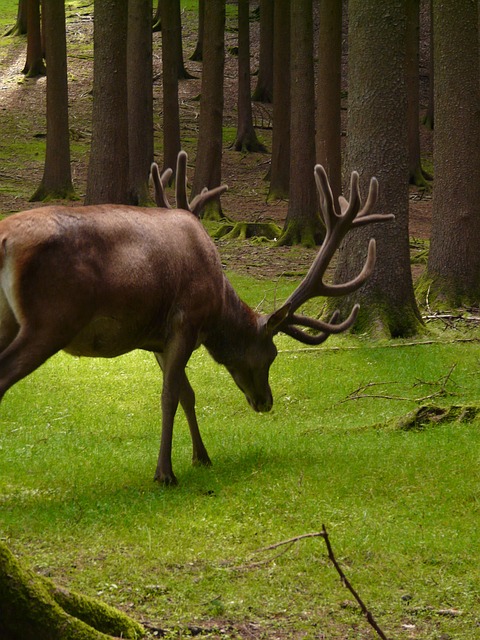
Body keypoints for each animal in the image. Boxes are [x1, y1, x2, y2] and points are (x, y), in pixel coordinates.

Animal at [0, 154, 392, 484]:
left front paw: (202, 456)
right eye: (272, 355)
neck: (217, 305)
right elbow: (170, 395)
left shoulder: (157, 339)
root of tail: (5, 239)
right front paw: (165, 472)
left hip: (11, 319)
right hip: (51, 319)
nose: (265, 402)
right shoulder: (185, 323)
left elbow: (187, 394)